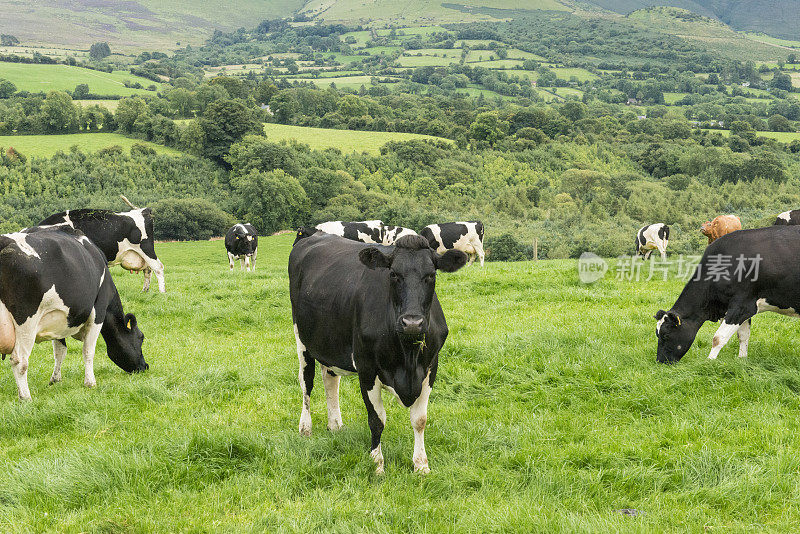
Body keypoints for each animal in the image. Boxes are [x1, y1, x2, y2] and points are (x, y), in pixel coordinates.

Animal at [0, 227, 148, 402]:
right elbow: (88, 351)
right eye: (141, 338)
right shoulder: (98, 313)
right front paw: (90, 383)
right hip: (26, 321)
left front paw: (55, 380)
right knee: (19, 360)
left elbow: (60, 351)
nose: (145, 366)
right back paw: (25, 397)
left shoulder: (58, 319)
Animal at [36, 196, 165, 294]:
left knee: (158, 267)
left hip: (146, 249)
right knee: (148, 269)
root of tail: (143, 210)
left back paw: (162, 292)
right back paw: (145, 291)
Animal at [290, 233, 468, 474]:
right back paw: (305, 428)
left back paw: (335, 425)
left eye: (431, 274)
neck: (408, 359)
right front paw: (377, 464)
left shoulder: (431, 367)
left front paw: (421, 465)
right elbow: (377, 420)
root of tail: (316, 235)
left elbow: (420, 419)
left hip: (329, 342)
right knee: (306, 383)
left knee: (330, 381)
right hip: (302, 339)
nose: (412, 322)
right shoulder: (367, 369)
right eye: (393, 274)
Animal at [656, 226, 800, 364]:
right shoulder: (744, 309)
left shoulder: (741, 306)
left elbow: (718, 338)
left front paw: (709, 362)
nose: (660, 361)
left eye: (665, 335)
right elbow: (743, 335)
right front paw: (742, 359)